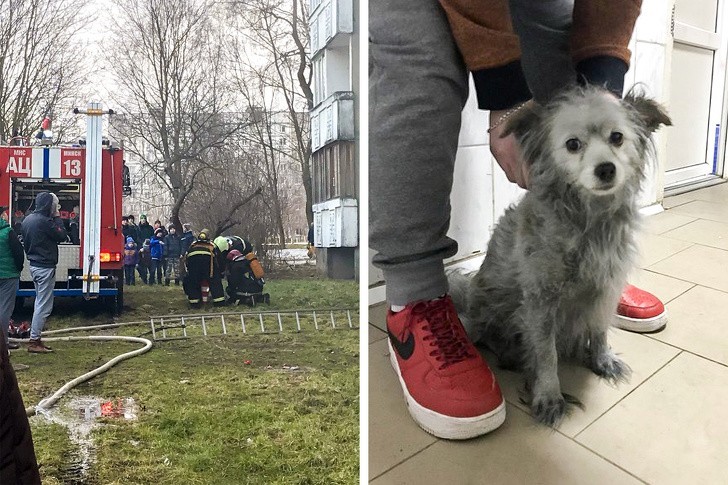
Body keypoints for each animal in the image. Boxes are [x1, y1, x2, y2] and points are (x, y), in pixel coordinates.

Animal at [450, 86, 672, 424]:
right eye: (572, 144)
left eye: (617, 137)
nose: (606, 168)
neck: (587, 222)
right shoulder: (540, 302)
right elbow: (546, 354)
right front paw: (549, 395)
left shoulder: (605, 291)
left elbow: (600, 330)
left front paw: (601, 360)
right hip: (478, 318)